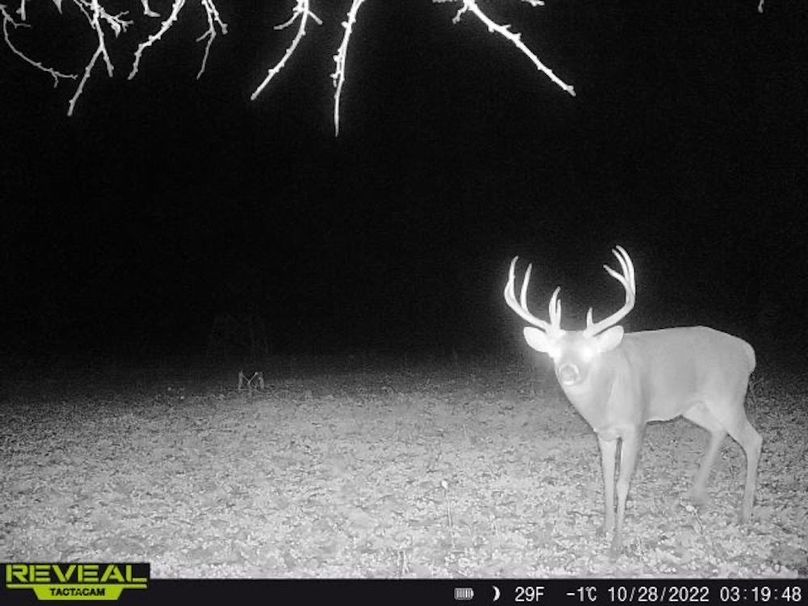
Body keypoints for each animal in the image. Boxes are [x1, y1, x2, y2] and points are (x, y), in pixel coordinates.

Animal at [504, 246, 762, 557]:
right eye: (554, 354)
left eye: (589, 353)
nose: (567, 372)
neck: (605, 400)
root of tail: (748, 351)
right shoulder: (603, 433)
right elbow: (606, 478)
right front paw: (604, 528)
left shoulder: (636, 424)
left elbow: (623, 481)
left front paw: (616, 543)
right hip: (694, 406)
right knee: (718, 430)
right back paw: (695, 495)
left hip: (728, 396)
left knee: (753, 440)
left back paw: (745, 515)